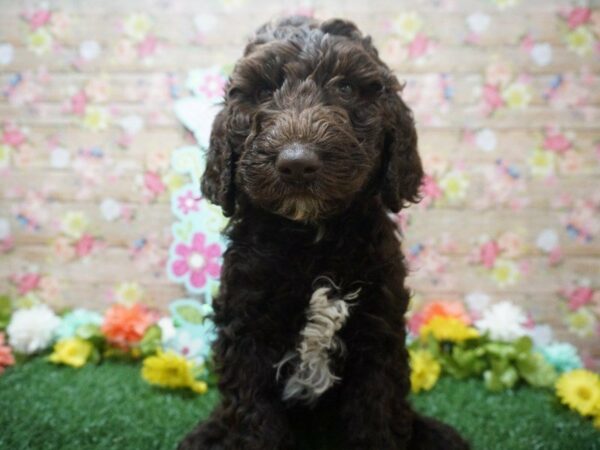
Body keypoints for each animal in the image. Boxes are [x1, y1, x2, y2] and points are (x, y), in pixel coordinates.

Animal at [180, 14, 472, 450]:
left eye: (346, 88)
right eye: (263, 91)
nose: (297, 162)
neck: (311, 236)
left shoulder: (378, 332)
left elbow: (376, 416)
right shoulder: (245, 330)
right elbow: (254, 419)